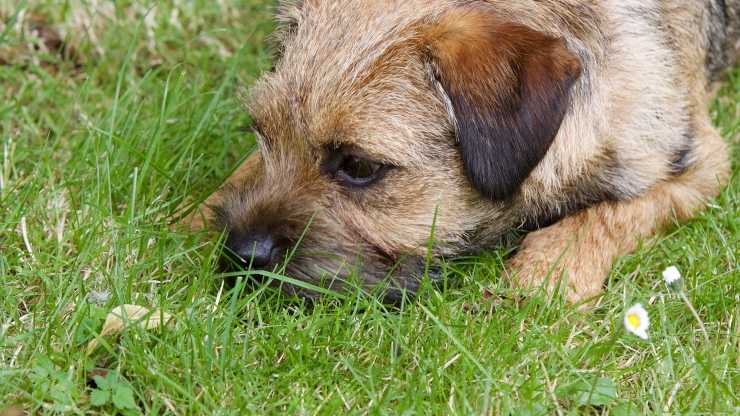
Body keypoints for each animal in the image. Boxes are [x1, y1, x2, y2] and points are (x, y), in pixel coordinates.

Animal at [182, 0, 736, 306]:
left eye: (359, 166)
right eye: (262, 133)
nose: (242, 254)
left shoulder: (698, 159)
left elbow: (609, 213)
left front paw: (547, 275)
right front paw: (194, 215)